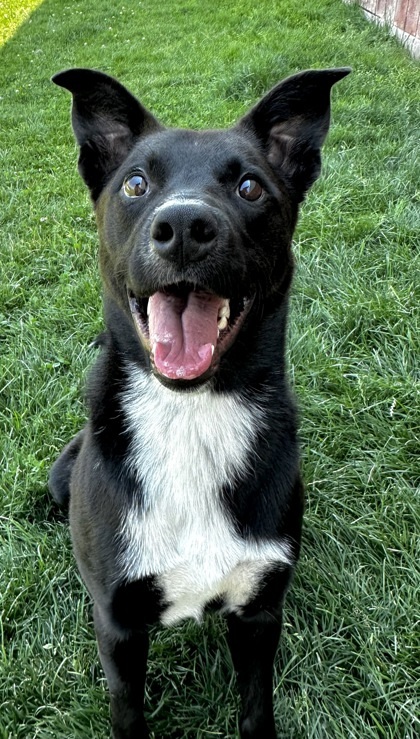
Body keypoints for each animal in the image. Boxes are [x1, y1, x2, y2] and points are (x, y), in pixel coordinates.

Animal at [49, 66, 350, 736]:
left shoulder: (260, 611)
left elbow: (256, 708)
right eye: (136, 183)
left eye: (249, 187)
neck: (190, 415)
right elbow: (128, 715)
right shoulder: (119, 626)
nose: (184, 228)